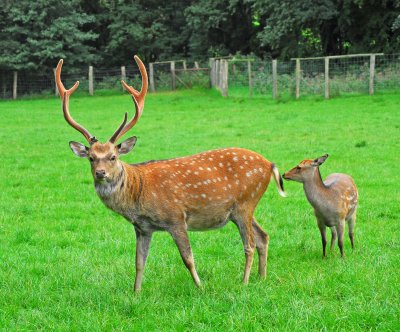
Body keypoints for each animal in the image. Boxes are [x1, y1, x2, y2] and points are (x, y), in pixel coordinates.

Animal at [56, 55, 286, 292]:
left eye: (113, 157)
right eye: (91, 158)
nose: (100, 173)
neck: (138, 193)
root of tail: (269, 164)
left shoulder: (176, 217)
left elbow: (188, 258)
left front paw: (200, 287)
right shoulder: (142, 228)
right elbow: (139, 262)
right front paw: (136, 292)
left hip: (245, 203)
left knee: (249, 243)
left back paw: (245, 281)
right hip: (242, 208)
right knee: (263, 236)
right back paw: (261, 278)